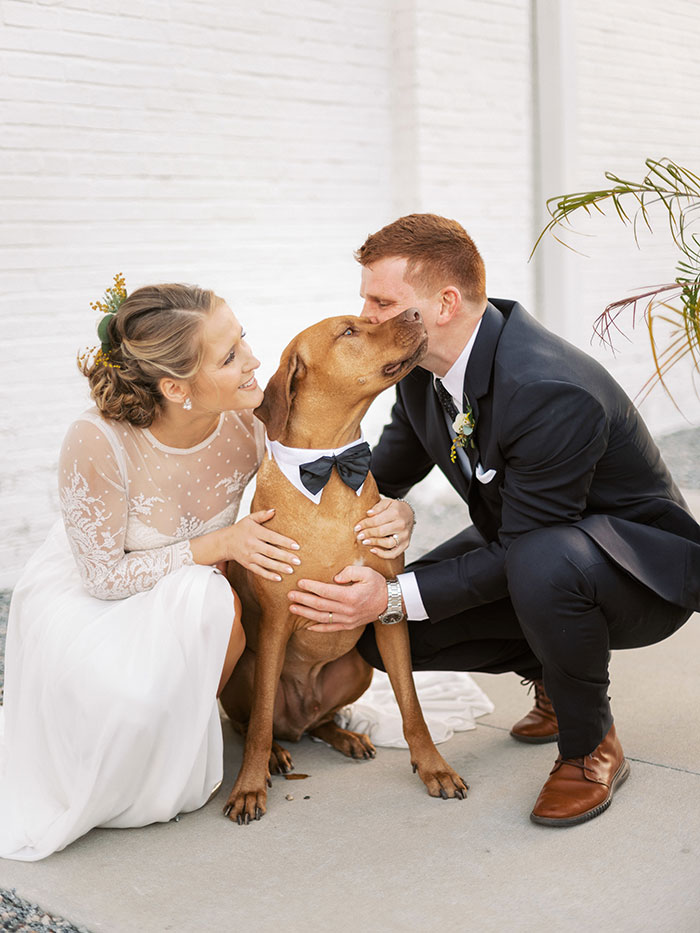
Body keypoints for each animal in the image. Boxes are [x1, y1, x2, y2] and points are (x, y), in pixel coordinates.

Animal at [221, 310, 468, 820]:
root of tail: (298, 720)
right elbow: (259, 722)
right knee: (254, 724)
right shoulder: (275, 623)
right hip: (245, 671)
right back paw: (276, 753)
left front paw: (433, 767)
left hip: (358, 668)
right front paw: (248, 786)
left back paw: (343, 734)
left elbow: (412, 705)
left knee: (321, 720)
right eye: (350, 331)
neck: (333, 469)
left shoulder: (387, 611)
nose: (415, 313)